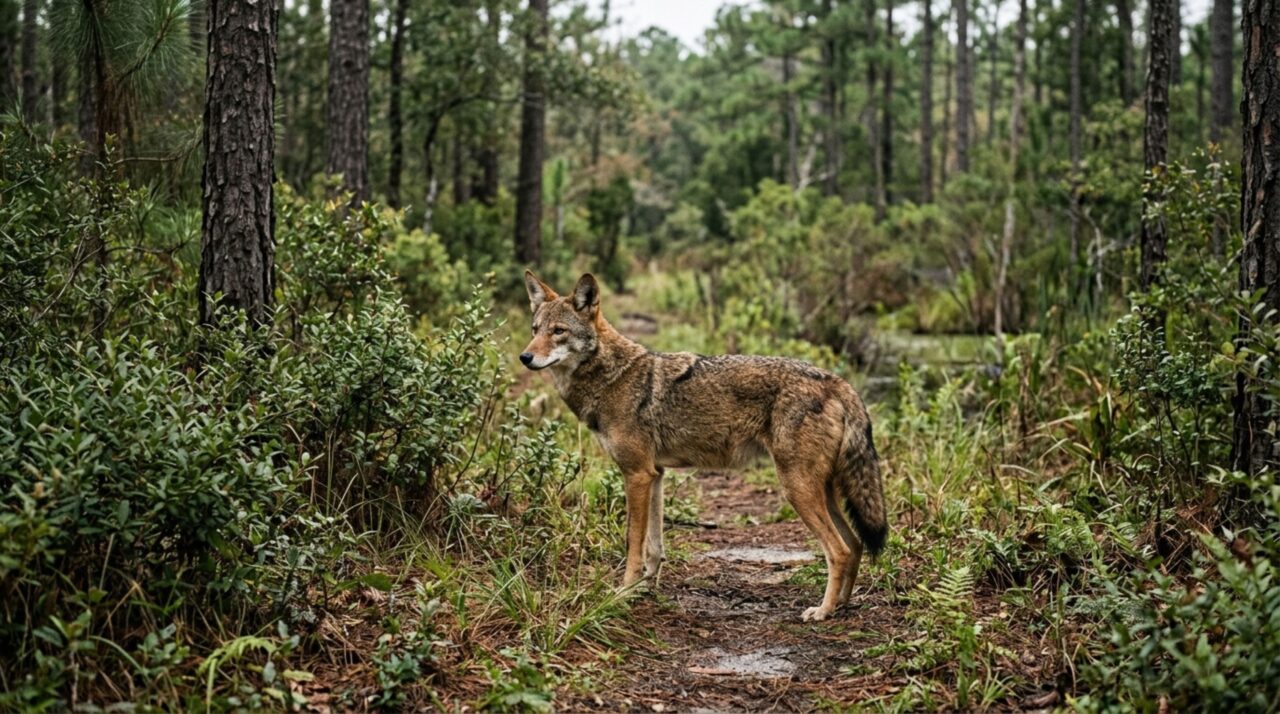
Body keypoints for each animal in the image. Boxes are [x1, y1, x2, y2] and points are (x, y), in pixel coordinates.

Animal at [520, 271, 887, 621]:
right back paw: (841, 605)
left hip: (798, 489)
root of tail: (837, 381)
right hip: (822, 490)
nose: (525, 357)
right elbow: (654, 547)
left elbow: (633, 543)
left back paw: (822, 611)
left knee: (839, 550)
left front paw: (623, 593)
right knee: (855, 544)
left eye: (558, 331)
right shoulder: (655, 475)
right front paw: (645, 589)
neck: (612, 377)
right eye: (535, 329)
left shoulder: (636, 475)